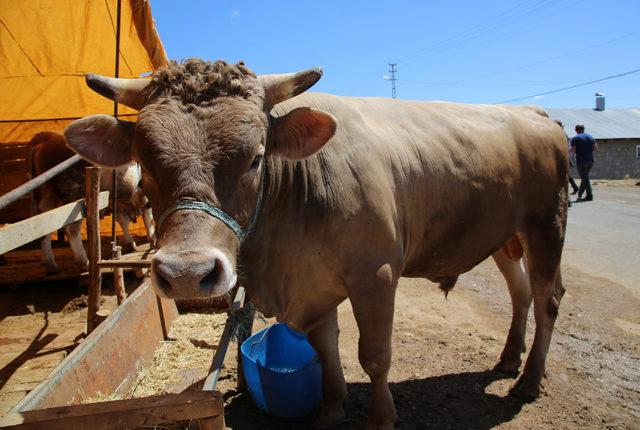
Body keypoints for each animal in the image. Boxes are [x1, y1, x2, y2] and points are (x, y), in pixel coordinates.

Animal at [28, 131, 156, 272]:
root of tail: (45, 139)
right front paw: (153, 239)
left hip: (46, 197)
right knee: (72, 229)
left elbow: (123, 220)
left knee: (43, 226)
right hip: (73, 195)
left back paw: (50, 264)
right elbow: (148, 216)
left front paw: (130, 243)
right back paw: (83, 262)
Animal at [63, 58, 564, 428]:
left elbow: (375, 356)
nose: (187, 273)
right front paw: (330, 409)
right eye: (144, 162)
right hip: (505, 236)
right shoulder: (315, 283)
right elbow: (324, 348)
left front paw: (381, 419)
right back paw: (508, 359)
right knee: (520, 292)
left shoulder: (376, 276)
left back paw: (528, 380)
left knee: (547, 298)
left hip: (545, 225)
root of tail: (534, 114)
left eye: (256, 158)